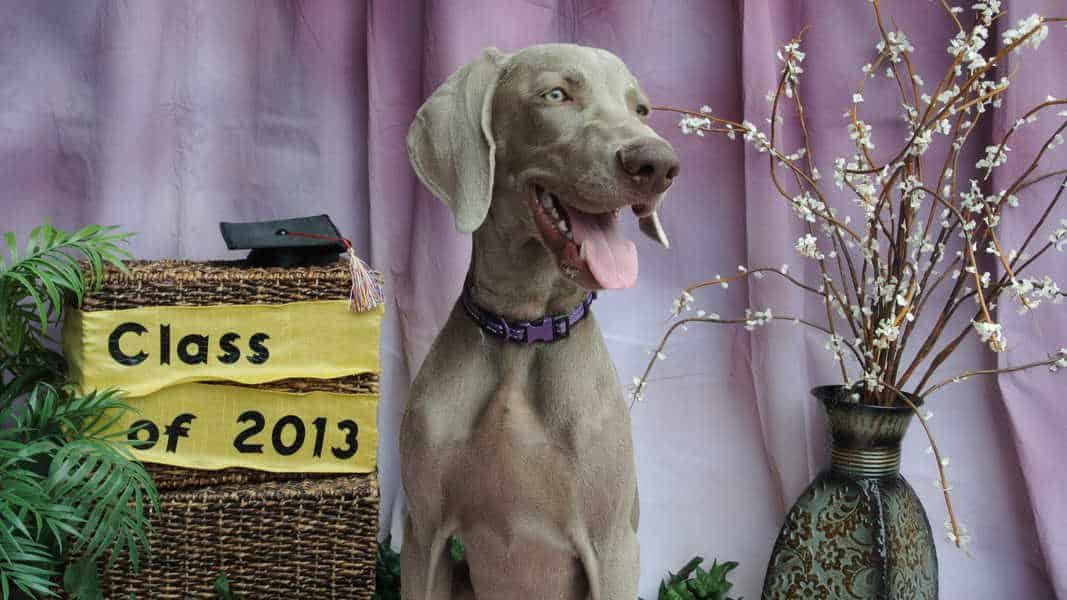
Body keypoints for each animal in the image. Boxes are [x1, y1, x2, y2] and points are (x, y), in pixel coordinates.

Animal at [403, 43, 678, 597]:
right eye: (555, 95)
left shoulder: (613, 546)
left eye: (640, 109)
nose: (658, 164)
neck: (523, 334)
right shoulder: (422, 538)